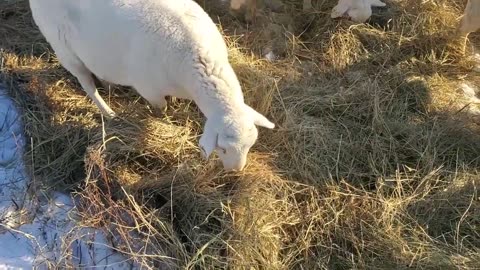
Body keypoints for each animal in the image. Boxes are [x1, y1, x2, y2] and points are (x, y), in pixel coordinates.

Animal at [30, 0, 276, 172]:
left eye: (250, 145)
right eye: (223, 148)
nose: (235, 171)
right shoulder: (149, 89)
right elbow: (161, 109)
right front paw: (165, 120)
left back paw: (109, 86)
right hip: (64, 49)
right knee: (87, 86)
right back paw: (109, 113)